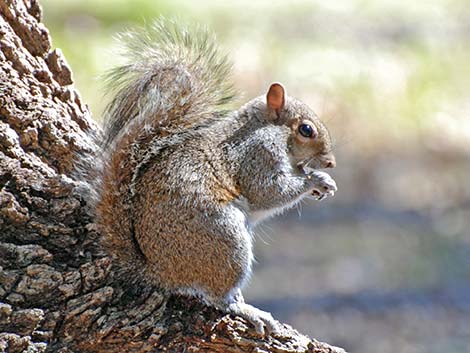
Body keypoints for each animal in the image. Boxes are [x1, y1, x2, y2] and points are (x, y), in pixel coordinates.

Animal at [89, 20, 338, 334]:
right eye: (306, 129)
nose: (331, 162)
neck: (264, 127)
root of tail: (159, 270)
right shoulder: (258, 154)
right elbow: (268, 192)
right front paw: (315, 181)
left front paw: (323, 183)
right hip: (226, 238)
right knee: (217, 296)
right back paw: (246, 309)